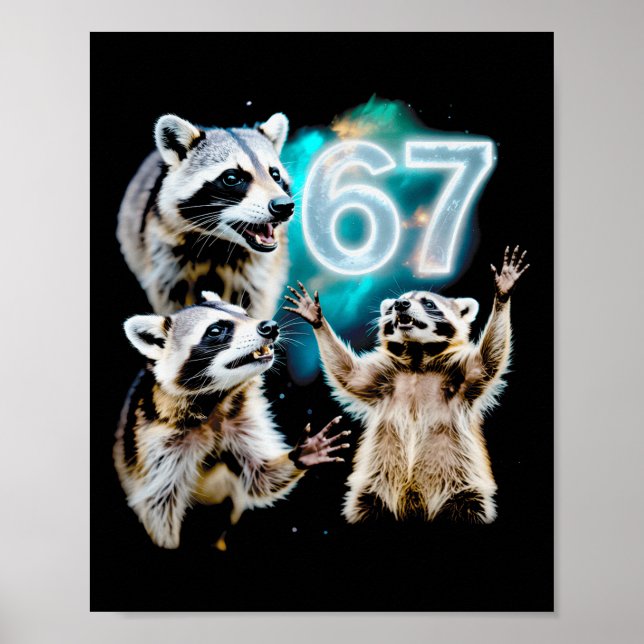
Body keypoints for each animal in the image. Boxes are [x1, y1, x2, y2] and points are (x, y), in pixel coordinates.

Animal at [114, 292, 349, 549]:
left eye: (245, 314)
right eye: (215, 330)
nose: (270, 326)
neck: (214, 401)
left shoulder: (239, 418)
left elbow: (260, 477)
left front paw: (301, 454)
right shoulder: (155, 440)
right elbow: (158, 506)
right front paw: (167, 543)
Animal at [117, 112, 294, 318]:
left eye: (275, 175)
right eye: (232, 178)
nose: (284, 206)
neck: (219, 244)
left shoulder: (258, 275)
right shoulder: (165, 264)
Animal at [285, 247, 529, 524]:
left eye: (429, 303)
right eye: (393, 304)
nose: (401, 304)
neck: (416, 359)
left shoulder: (461, 376)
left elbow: (487, 361)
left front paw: (503, 294)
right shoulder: (382, 380)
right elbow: (350, 374)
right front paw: (317, 319)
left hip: (463, 489)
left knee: (467, 507)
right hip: (372, 493)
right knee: (366, 506)